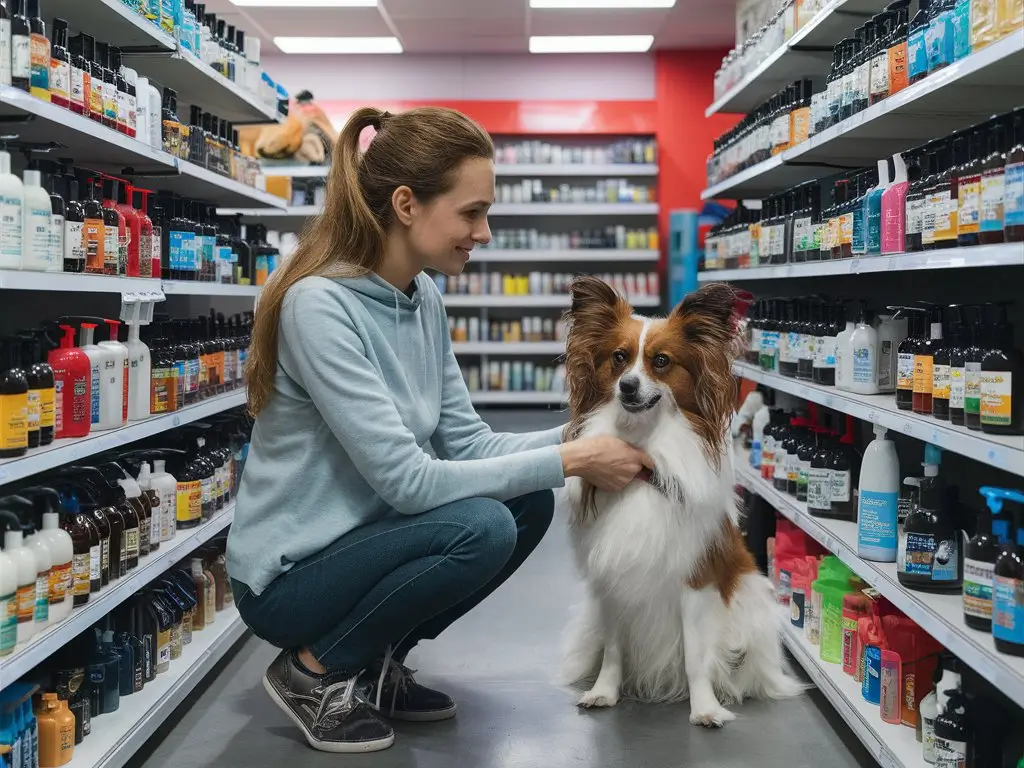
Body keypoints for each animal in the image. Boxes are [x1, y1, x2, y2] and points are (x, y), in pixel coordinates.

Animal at [557, 276, 802, 729]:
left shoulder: (696, 581)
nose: (628, 386)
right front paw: (604, 691)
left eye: (661, 362)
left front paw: (705, 708)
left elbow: (696, 657)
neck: (642, 455)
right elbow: (614, 651)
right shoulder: (614, 579)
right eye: (619, 358)